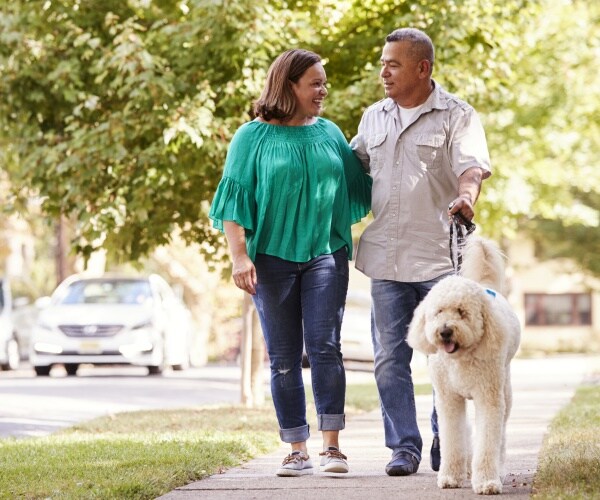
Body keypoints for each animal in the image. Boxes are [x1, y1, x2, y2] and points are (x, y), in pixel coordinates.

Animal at [408, 236, 520, 494]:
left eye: (461, 312)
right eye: (439, 311)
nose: (445, 331)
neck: (460, 358)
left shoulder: (488, 397)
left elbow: (487, 441)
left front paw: (487, 482)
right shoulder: (449, 400)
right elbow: (453, 439)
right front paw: (451, 476)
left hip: (505, 391)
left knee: (500, 436)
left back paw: (498, 469)